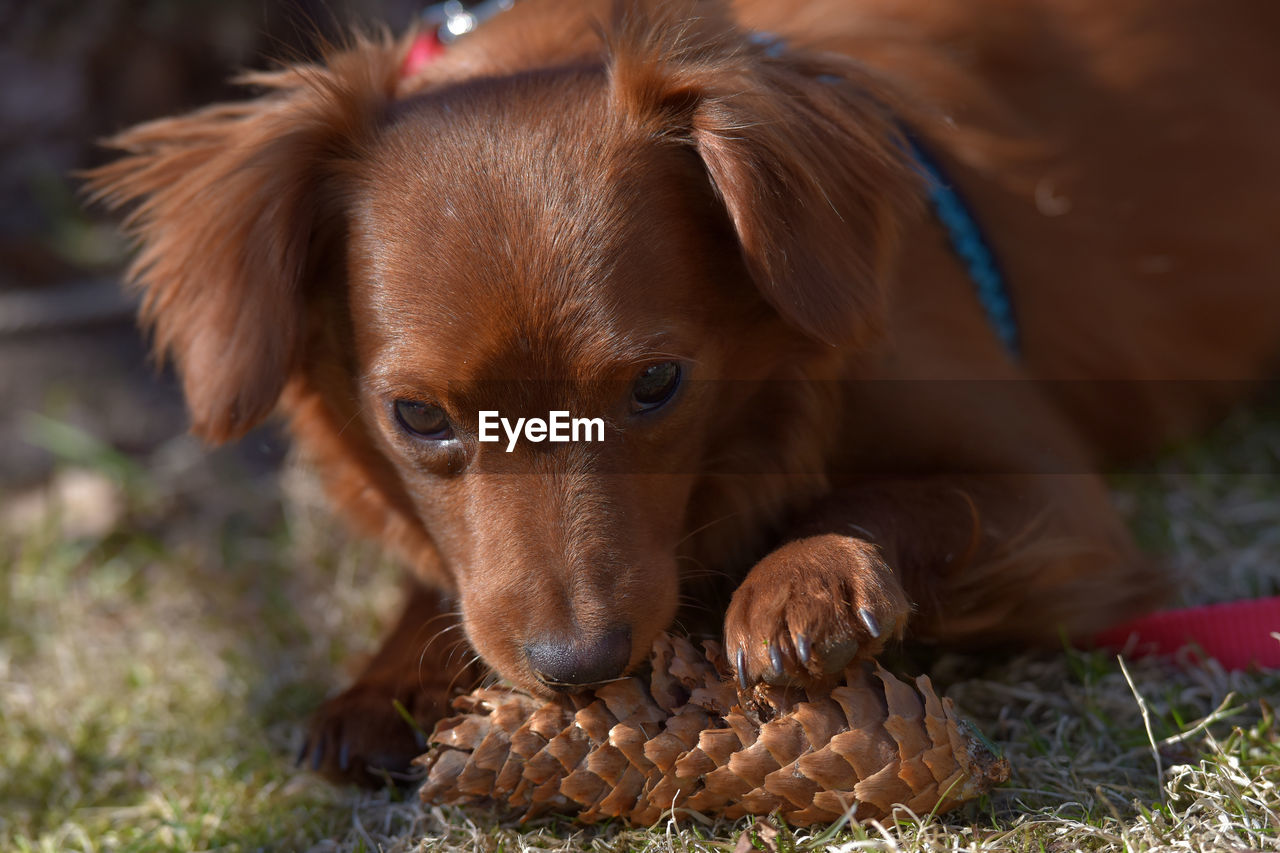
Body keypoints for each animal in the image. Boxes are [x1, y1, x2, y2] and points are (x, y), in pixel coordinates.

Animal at [90, 0, 1280, 778]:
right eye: (416, 416)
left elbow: (906, 495)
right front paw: (387, 675)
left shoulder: (1059, 508)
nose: (578, 665)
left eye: (658, 383)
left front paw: (803, 578)